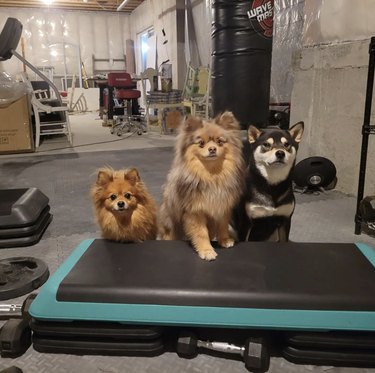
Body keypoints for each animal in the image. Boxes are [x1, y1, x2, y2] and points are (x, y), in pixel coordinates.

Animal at [159, 112, 245, 260]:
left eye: (219, 142)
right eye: (201, 143)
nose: (212, 149)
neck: (212, 176)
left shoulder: (223, 207)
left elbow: (223, 225)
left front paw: (225, 240)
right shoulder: (195, 212)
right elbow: (201, 233)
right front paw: (206, 250)